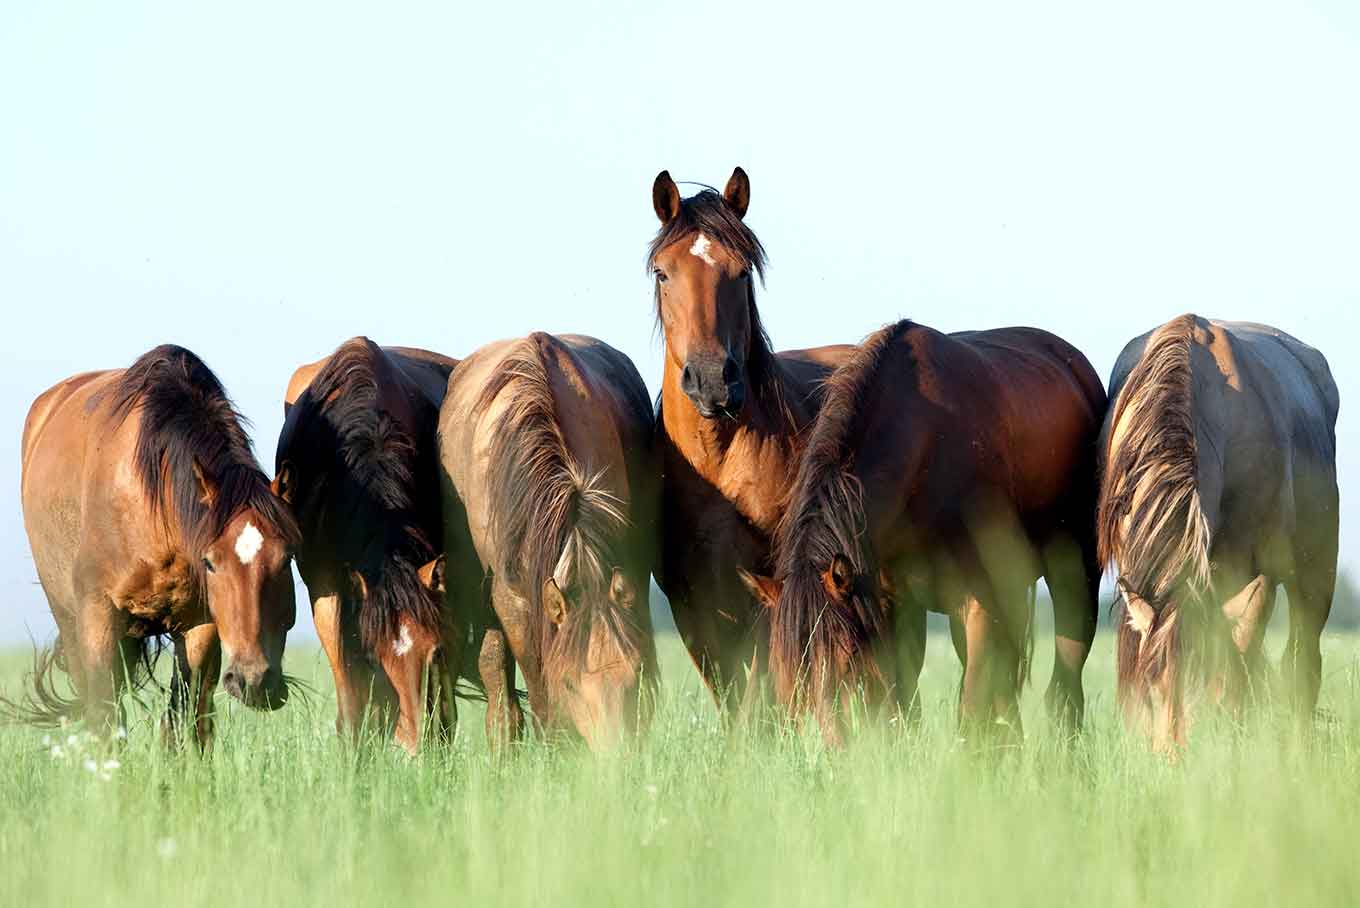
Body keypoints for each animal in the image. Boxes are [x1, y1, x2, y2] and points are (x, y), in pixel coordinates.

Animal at [15, 345, 299, 747]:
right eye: (211, 562)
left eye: (287, 557)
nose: (254, 681)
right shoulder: (98, 614)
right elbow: (104, 715)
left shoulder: (200, 625)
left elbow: (186, 718)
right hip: (69, 619)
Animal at [648, 167, 854, 718]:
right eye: (662, 273)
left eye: (741, 273)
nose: (712, 381)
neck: (718, 461)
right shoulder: (693, 601)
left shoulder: (769, 586)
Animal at [741, 319, 1107, 746]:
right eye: (787, 675)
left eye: (847, 660)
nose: (833, 751)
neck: (924, 450)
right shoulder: (892, 604)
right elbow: (901, 699)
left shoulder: (978, 602)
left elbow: (972, 705)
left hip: (1074, 578)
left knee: (1065, 680)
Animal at [1098, 314, 1339, 751]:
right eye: (1155, 690)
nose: (1175, 759)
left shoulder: (1259, 577)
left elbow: (1236, 665)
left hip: (1316, 573)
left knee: (1301, 665)